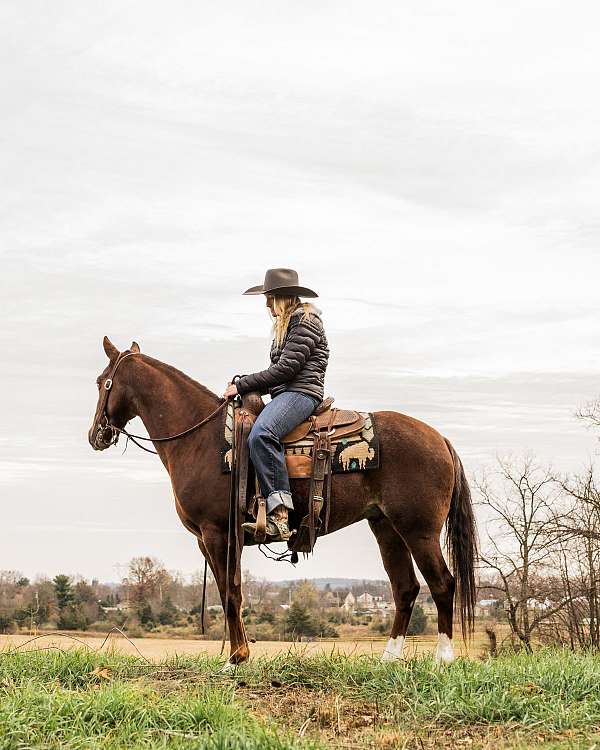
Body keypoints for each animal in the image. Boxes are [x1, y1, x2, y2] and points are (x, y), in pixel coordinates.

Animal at [88, 338, 478, 668]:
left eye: (101, 382)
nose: (95, 435)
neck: (201, 439)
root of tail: (440, 439)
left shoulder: (218, 535)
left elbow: (230, 594)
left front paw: (236, 658)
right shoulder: (209, 540)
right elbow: (230, 593)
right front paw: (238, 655)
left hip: (419, 531)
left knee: (443, 584)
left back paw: (443, 659)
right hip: (385, 528)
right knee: (406, 589)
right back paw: (388, 659)